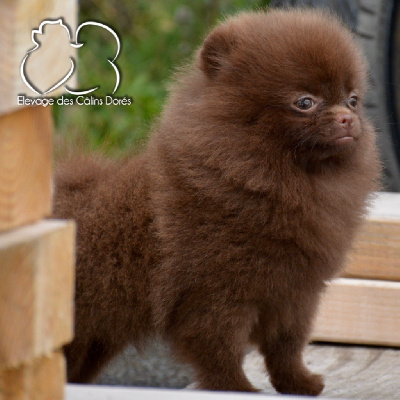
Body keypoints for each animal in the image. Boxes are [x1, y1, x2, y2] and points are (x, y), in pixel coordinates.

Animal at [54, 7, 382, 396]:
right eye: (305, 102)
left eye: (353, 99)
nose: (347, 117)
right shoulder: (215, 292)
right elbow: (220, 348)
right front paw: (238, 388)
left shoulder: (295, 292)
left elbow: (286, 346)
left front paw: (299, 383)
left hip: (94, 339)